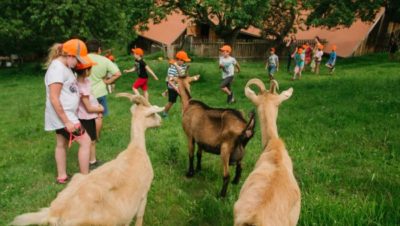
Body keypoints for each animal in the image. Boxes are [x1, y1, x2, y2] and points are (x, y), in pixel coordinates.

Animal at [11, 92, 164, 225]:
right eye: (153, 113)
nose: (161, 121)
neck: (136, 149)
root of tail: (54, 213)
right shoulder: (143, 194)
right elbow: (139, 217)